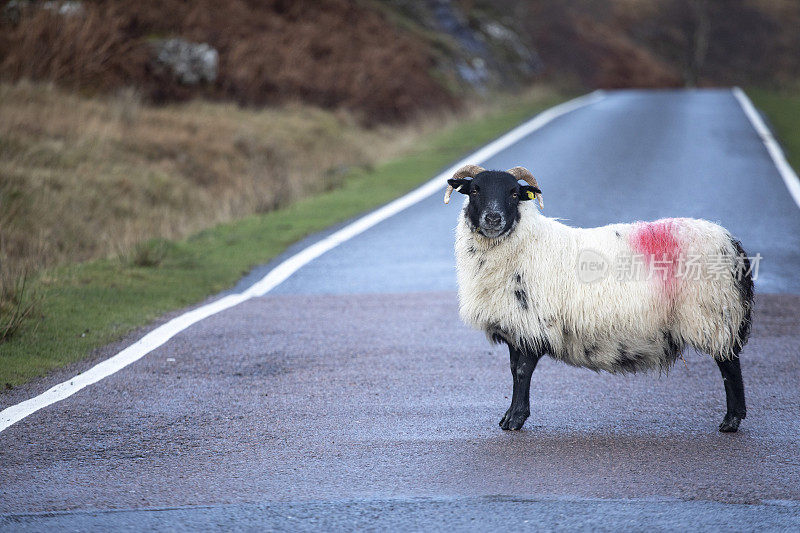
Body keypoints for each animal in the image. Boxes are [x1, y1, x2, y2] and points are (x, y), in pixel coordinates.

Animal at [446, 165, 752, 432]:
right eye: (474, 190)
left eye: (513, 193)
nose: (493, 218)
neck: (526, 243)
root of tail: (731, 242)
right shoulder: (516, 325)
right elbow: (512, 370)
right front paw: (508, 416)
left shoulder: (536, 325)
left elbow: (522, 372)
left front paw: (515, 420)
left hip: (712, 313)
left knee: (729, 364)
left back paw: (731, 421)